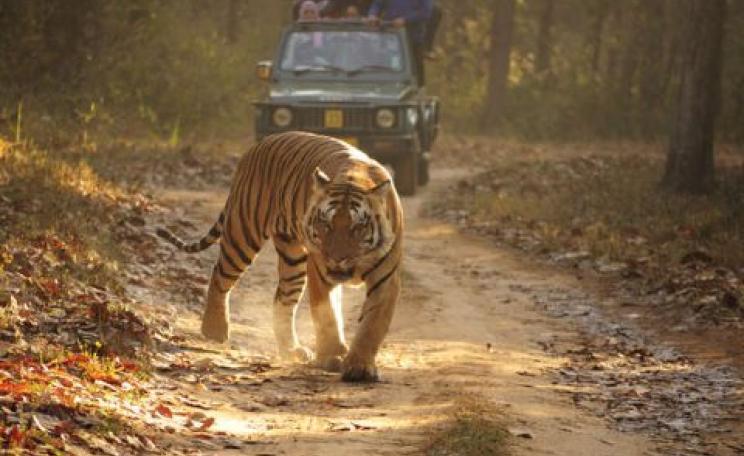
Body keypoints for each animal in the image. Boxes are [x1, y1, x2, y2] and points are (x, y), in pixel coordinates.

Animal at [156, 131, 403, 382]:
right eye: (325, 224)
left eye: (357, 228)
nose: (335, 258)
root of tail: (258, 145)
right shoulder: (320, 272)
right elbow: (327, 316)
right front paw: (331, 356)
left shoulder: (385, 279)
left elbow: (372, 324)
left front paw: (359, 366)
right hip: (243, 233)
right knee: (220, 276)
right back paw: (214, 330)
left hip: (292, 259)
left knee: (282, 299)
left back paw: (291, 349)